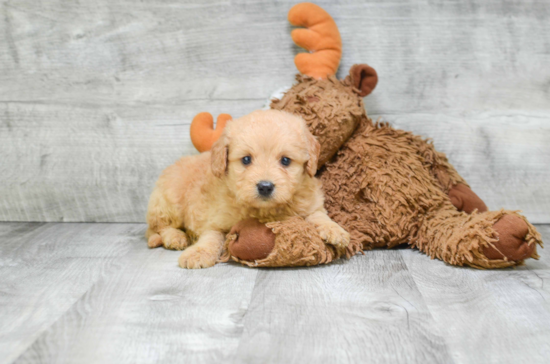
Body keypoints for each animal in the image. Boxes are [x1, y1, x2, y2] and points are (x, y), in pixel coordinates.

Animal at [147, 108, 352, 268]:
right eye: (246, 159)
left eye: (285, 160)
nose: (265, 186)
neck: (264, 210)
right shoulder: (215, 218)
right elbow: (211, 236)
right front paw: (198, 253)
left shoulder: (310, 201)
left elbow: (318, 215)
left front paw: (335, 230)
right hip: (168, 202)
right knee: (161, 227)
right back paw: (176, 237)